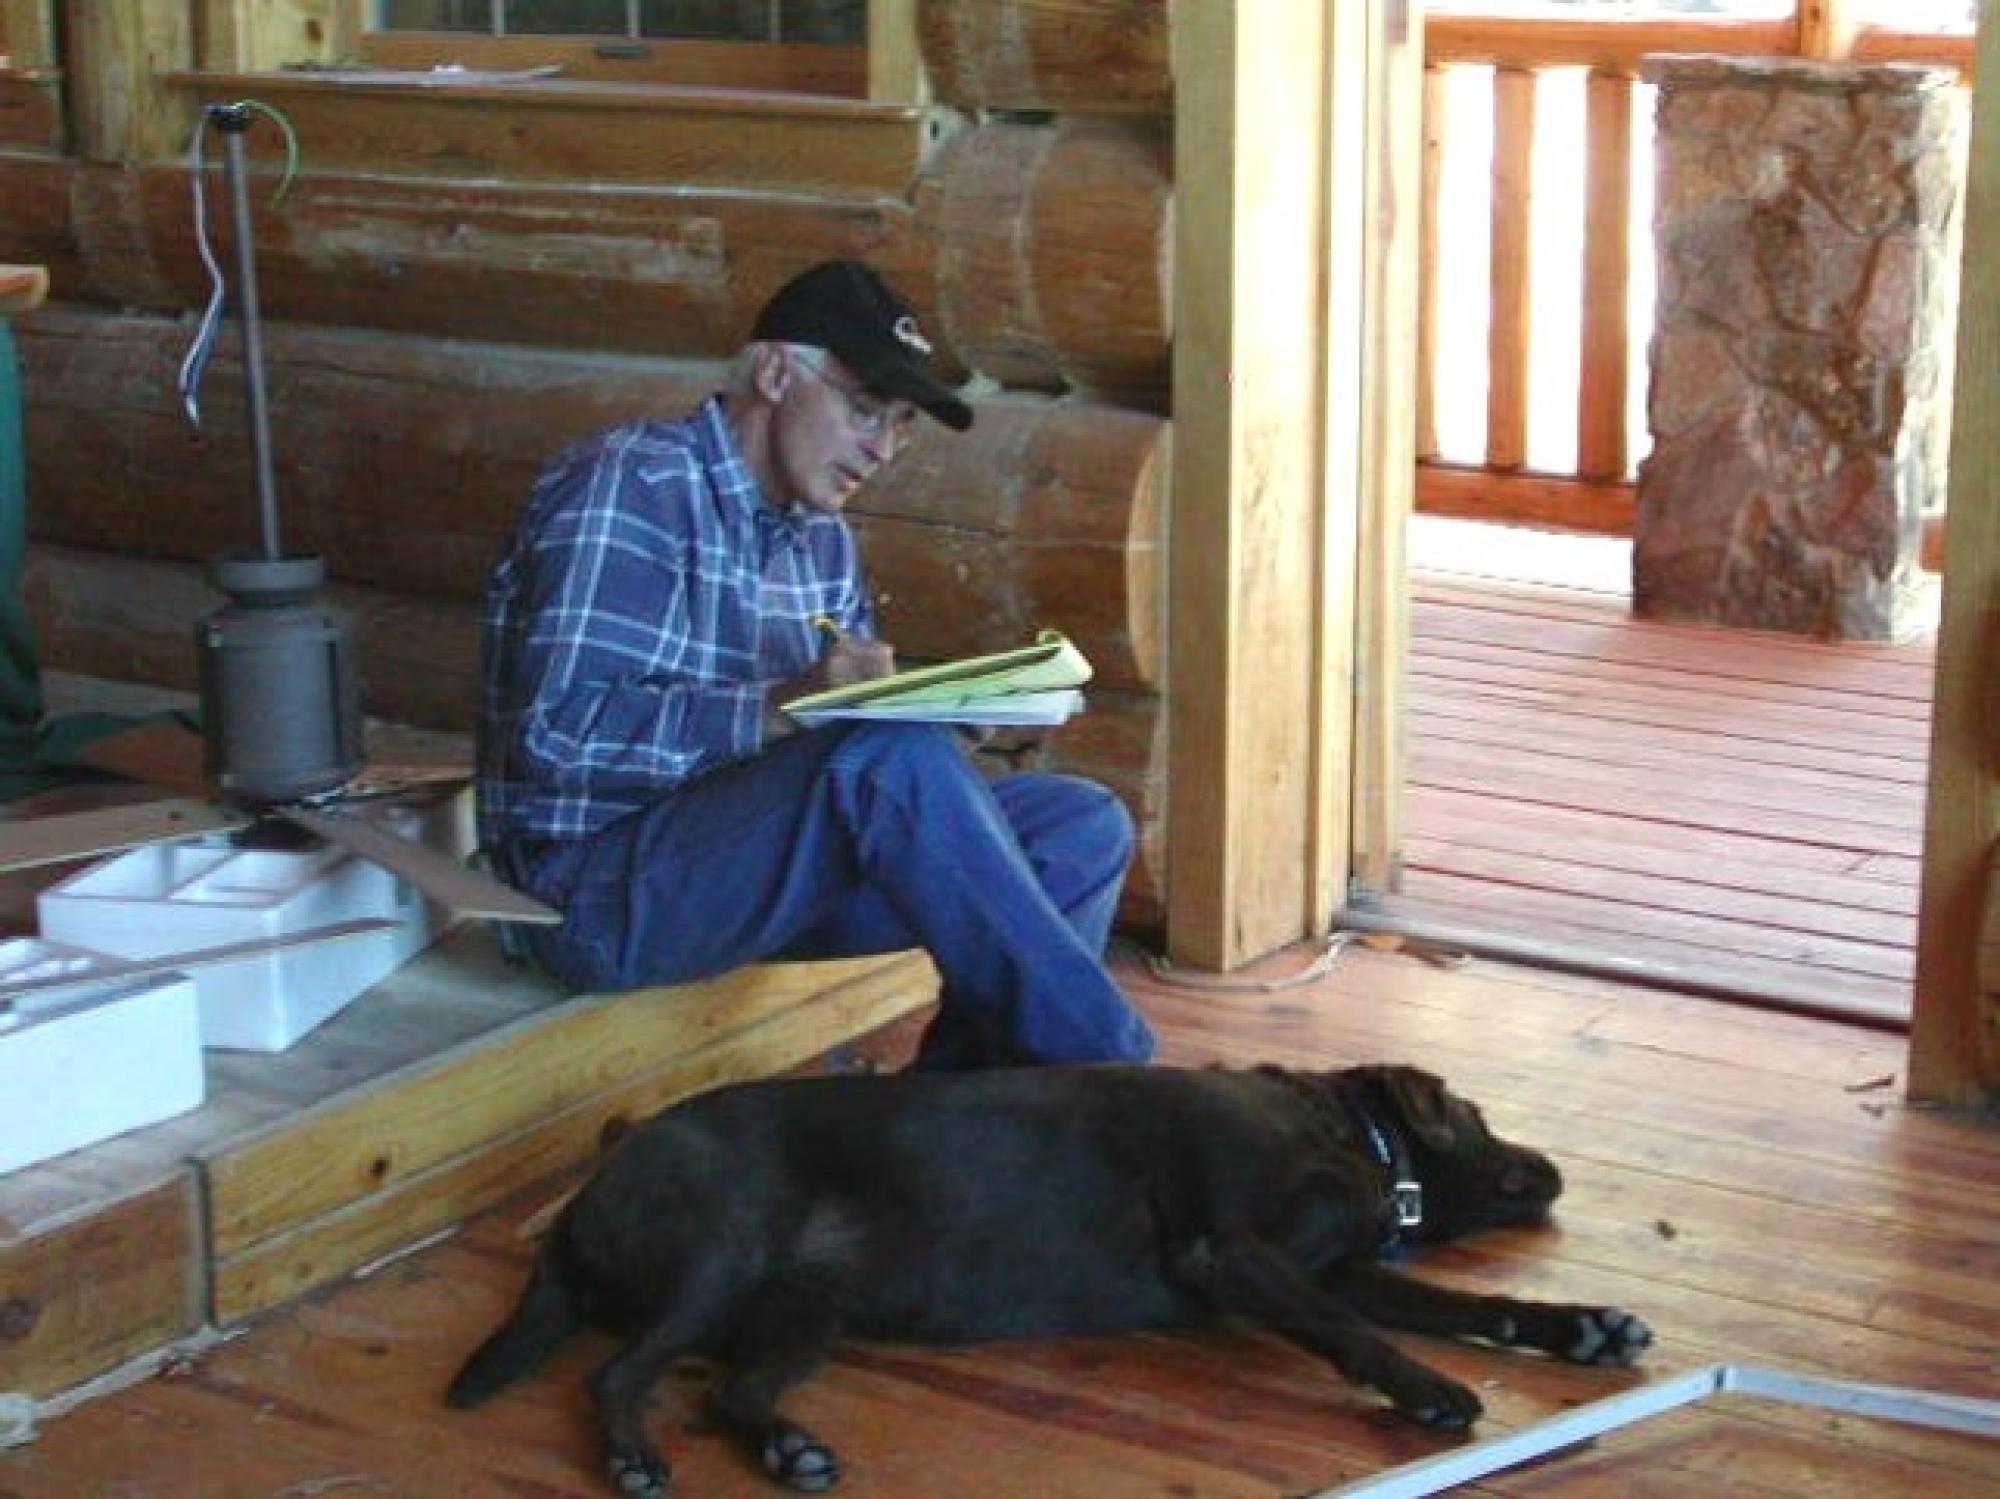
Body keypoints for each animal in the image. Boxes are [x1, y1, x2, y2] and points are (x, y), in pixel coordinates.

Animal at [454, 1063, 1656, 1495]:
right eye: (1477, 1112)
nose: (1554, 1165)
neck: (1336, 1136)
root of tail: (587, 1192)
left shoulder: (1339, 1268)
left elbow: (1470, 1305)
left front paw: (1580, 1324)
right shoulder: (1241, 1253)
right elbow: (1358, 1333)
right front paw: (1428, 1390)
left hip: (805, 1305)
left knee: (731, 1390)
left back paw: (790, 1449)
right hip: (718, 1252)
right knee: (614, 1375)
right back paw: (632, 1456)